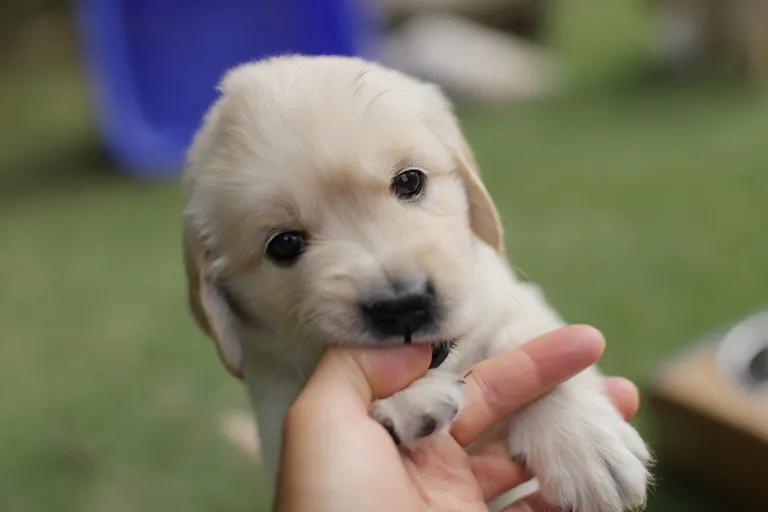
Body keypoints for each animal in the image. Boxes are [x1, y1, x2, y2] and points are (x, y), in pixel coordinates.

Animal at [183, 56, 652, 512]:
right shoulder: (277, 406)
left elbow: (530, 340)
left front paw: (585, 445)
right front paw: (409, 401)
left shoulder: (506, 296)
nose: (403, 307)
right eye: (284, 245)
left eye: (410, 181)